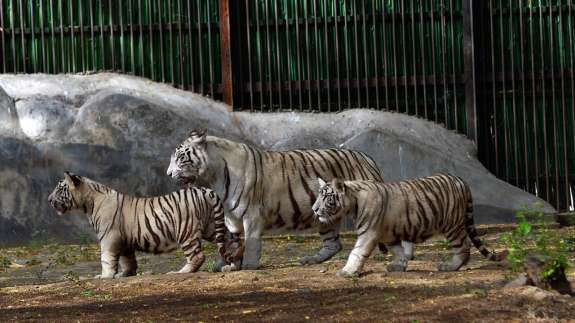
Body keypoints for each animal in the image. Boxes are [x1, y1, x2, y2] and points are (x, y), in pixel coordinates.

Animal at [166, 130, 414, 270]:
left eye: (180, 157)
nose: (168, 174)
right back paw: (310, 260)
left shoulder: (252, 215)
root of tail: (368, 157)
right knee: (333, 244)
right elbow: (231, 241)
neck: (213, 176)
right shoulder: (231, 216)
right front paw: (225, 264)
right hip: (323, 215)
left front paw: (249, 266)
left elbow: (252, 243)